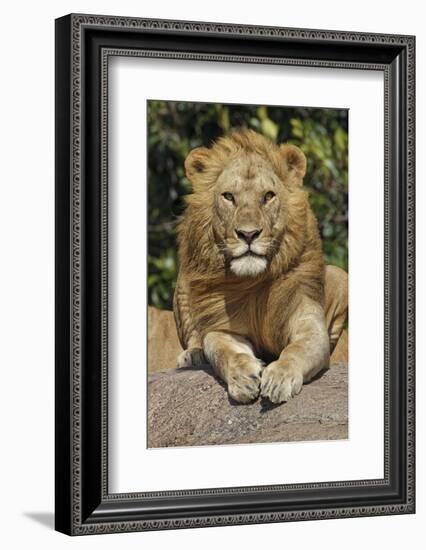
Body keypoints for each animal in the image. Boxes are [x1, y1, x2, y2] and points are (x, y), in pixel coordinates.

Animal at [171, 129, 348, 406]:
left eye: (268, 196)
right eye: (229, 196)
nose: (248, 234)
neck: (253, 282)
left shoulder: (308, 323)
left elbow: (296, 349)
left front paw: (280, 378)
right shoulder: (223, 328)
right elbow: (224, 351)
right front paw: (243, 378)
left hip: (340, 276)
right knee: (195, 336)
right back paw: (193, 355)